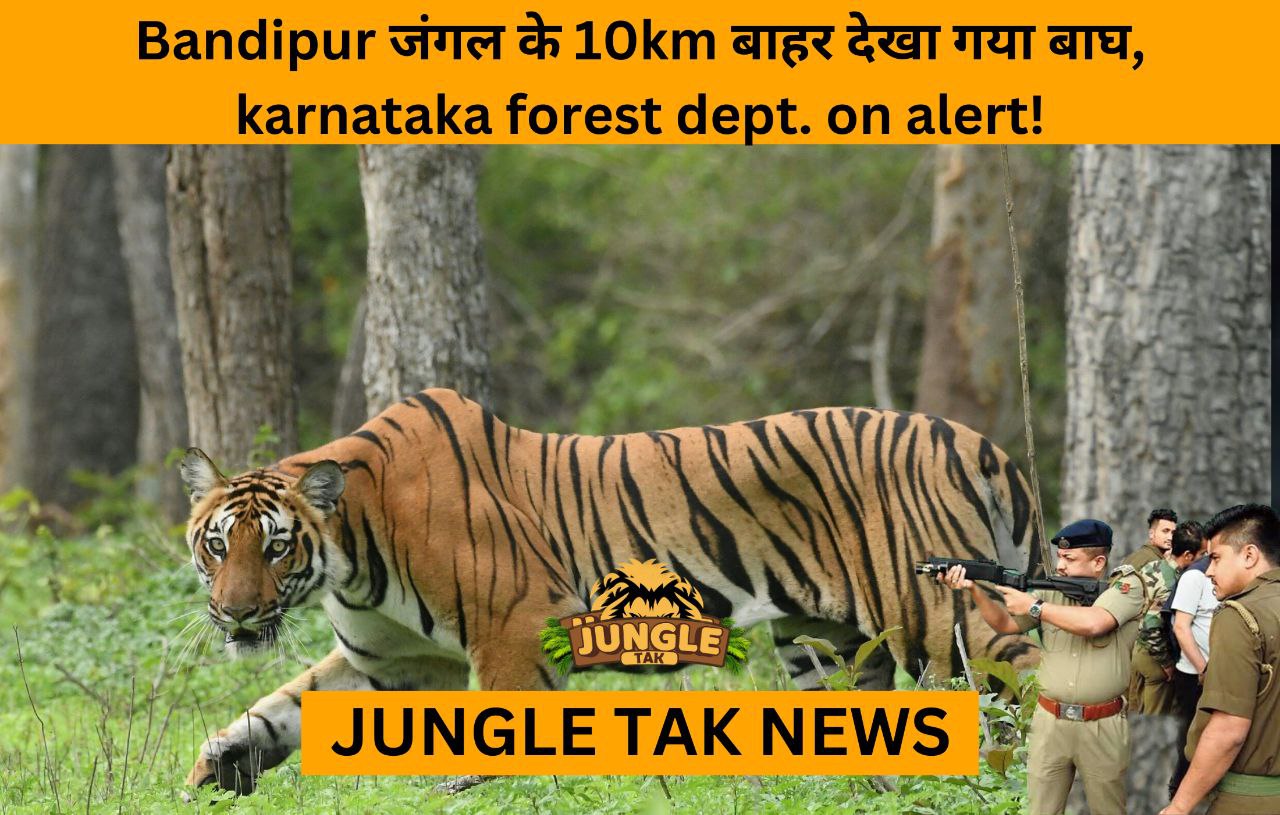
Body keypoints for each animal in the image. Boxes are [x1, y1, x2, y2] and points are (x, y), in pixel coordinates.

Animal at [179, 388, 1043, 793]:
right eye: (217, 544)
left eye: (276, 545)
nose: (236, 612)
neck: (349, 558)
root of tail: (979, 442)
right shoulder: (392, 663)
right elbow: (278, 709)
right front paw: (215, 767)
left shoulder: (514, 628)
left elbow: (500, 735)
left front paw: (469, 791)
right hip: (823, 644)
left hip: (936, 614)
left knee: (1027, 683)